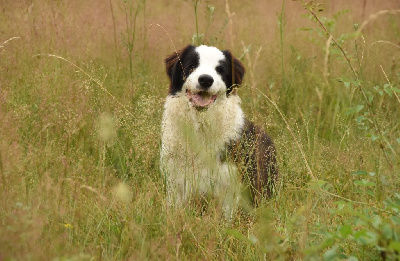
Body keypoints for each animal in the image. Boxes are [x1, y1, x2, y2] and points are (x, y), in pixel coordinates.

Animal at [159, 44, 278, 215]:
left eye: (220, 70)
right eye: (192, 66)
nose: (205, 80)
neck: (200, 125)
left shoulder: (229, 183)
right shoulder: (175, 181)